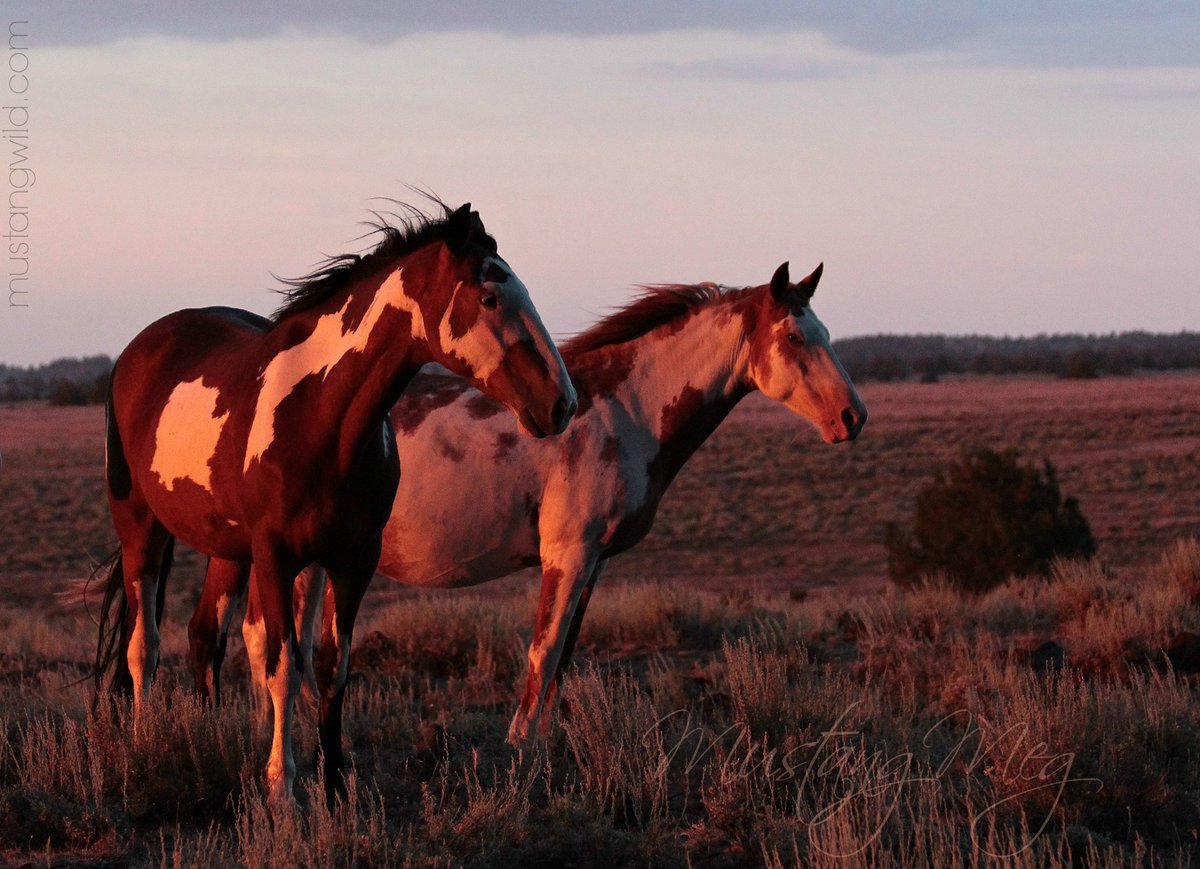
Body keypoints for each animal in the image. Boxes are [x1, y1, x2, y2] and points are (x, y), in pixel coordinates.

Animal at [93, 201, 576, 801]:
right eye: (489, 298)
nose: (562, 403)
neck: (320, 414)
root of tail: (137, 352)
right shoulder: (277, 558)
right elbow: (282, 666)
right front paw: (282, 785)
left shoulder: (352, 560)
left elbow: (331, 666)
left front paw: (334, 780)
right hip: (142, 530)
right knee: (144, 645)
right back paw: (145, 743)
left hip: (226, 549)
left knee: (203, 636)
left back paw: (207, 737)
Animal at [189, 259, 866, 748]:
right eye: (796, 335)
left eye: (827, 334)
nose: (852, 417)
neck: (624, 408)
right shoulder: (568, 554)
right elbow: (543, 651)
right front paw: (521, 748)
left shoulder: (594, 564)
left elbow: (562, 658)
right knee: (252, 639)